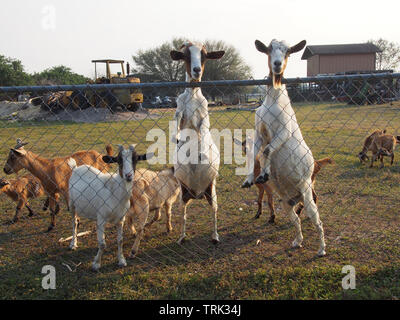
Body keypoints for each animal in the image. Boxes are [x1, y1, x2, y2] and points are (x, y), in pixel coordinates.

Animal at [242, 38, 326, 258]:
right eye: (269, 50)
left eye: (288, 52)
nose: (277, 64)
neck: (274, 99)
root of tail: (297, 197)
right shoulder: (259, 132)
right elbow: (255, 153)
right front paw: (250, 179)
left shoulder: (283, 131)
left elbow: (267, 150)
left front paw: (264, 174)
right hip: (287, 202)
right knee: (295, 219)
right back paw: (297, 241)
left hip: (306, 191)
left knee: (317, 219)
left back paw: (322, 249)